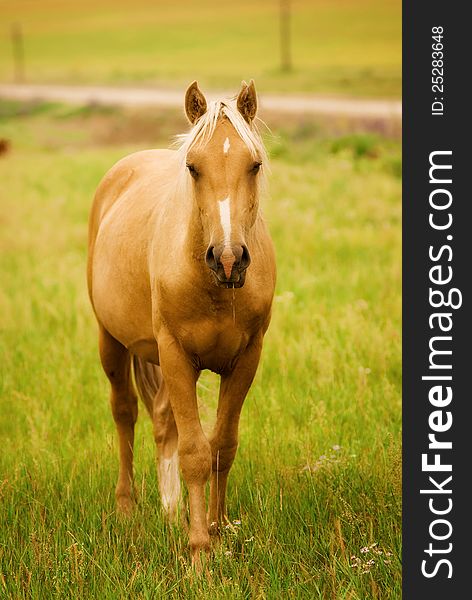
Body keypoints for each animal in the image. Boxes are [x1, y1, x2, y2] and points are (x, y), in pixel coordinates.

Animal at [87, 78, 276, 564]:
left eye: (254, 165)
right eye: (193, 167)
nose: (228, 259)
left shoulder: (246, 360)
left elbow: (222, 446)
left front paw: (219, 528)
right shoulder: (175, 355)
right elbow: (194, 453)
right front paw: (199, 552)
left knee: (161, 421)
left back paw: (170, 510)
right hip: (111, 341)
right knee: (125, 412)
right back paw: (127, 509)